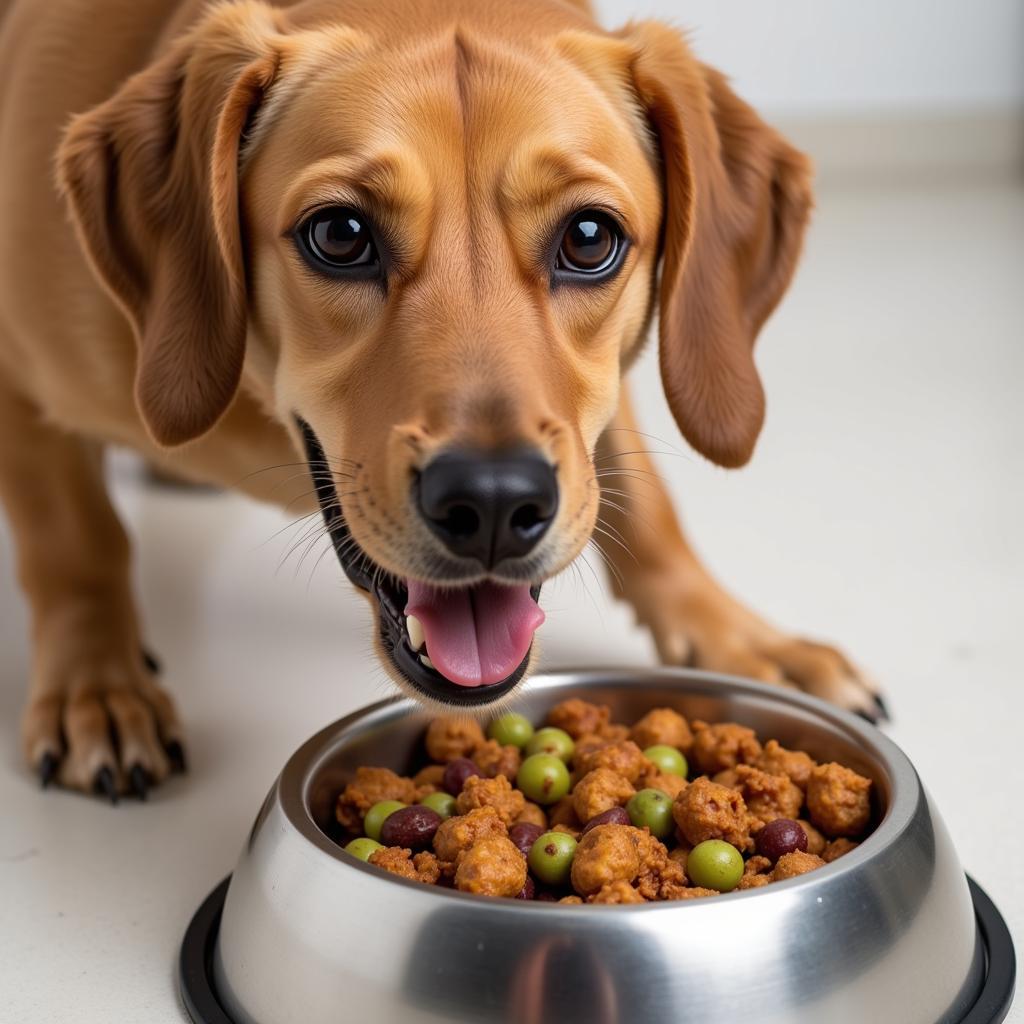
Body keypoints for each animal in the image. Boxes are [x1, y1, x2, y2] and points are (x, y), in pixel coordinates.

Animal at [0, 0, 880, 798]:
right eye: (340, 234)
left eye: (590, 238)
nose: (492, 504)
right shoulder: (19, 391)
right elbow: (76, 540)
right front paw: (97, 685)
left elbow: (646, 501)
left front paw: (742, 641)